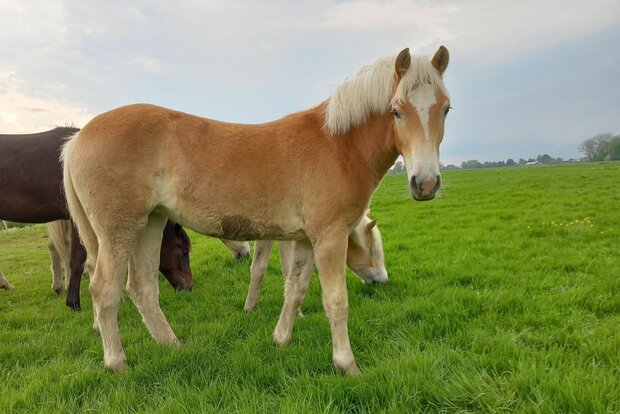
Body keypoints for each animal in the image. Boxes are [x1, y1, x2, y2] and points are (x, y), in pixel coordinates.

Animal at [243, 213, 386, 314]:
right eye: (372, 250)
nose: (384, 280)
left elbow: (260, 267)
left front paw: (248, 308)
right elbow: (284, 269)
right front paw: (297, 312)